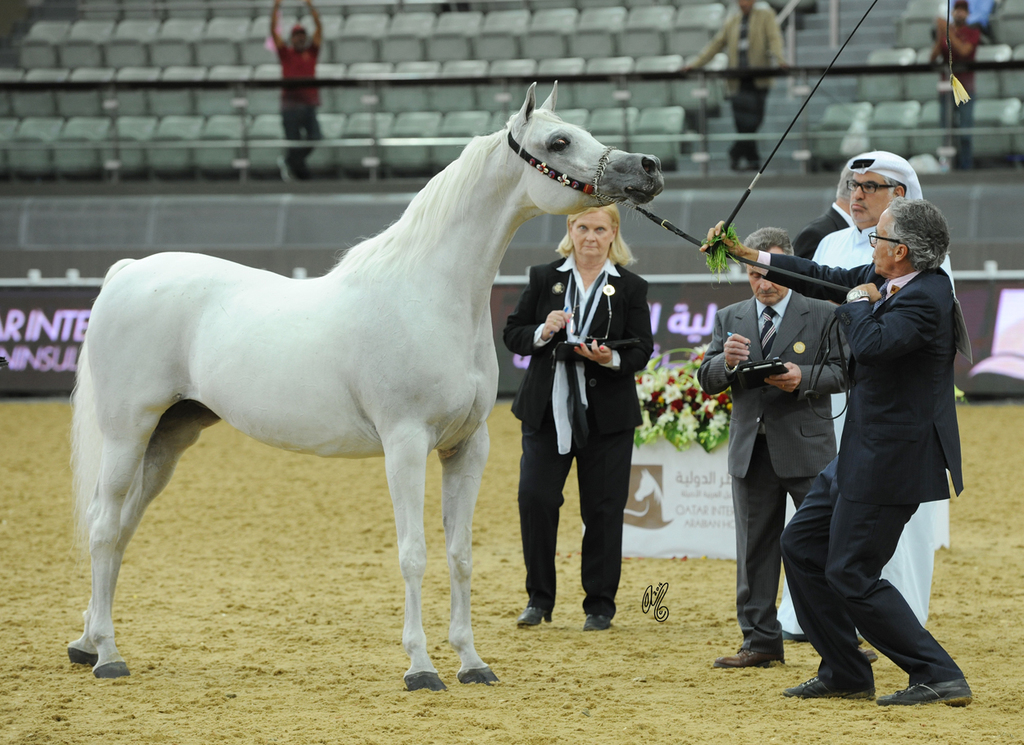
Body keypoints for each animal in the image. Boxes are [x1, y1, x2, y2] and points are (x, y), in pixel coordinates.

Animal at [67, 84, 664, 691]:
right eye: (559, 140)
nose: (646, 166)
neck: (431, 295)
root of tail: (127, 272)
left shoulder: (467, 447)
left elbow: (460, 555)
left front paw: (472, 662)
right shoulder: (405, 445)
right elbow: (414, 554)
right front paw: (421, 667)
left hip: (168, 438)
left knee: (120, 529)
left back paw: (88, 643)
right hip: (128, 433)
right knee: (103, 528)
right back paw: (109, 655)